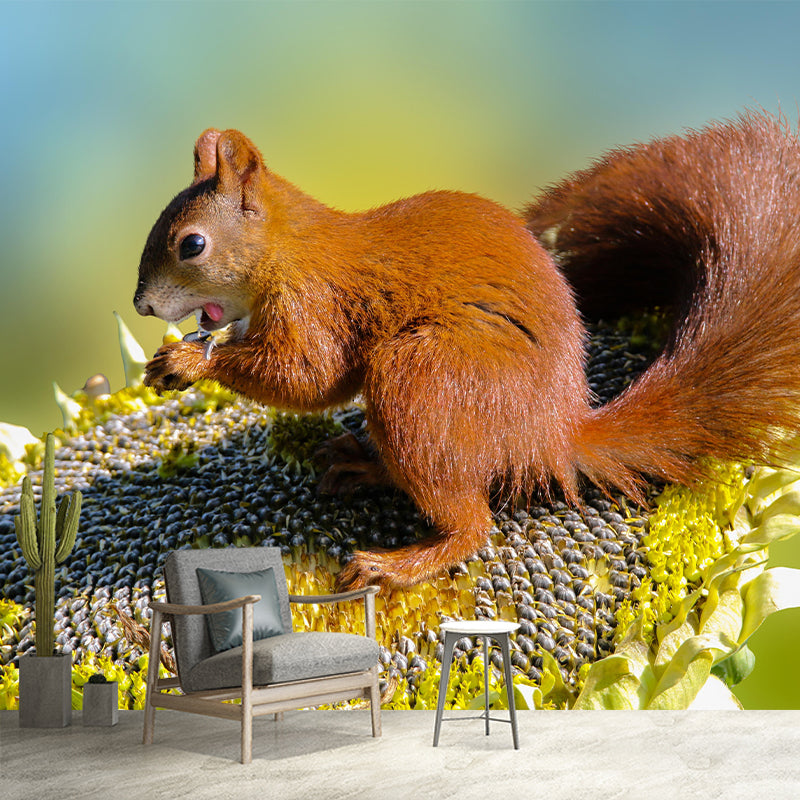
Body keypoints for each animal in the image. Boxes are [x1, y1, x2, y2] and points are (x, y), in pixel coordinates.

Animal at [134, 111, 800, 590]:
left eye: (191, 244)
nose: (141, 305)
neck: (288, 248)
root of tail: (551, 432)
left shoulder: (315, 304)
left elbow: (308, 376)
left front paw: (189, 361)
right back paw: (364, 464)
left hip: (423, 381)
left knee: (473, 524)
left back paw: (397, 564)